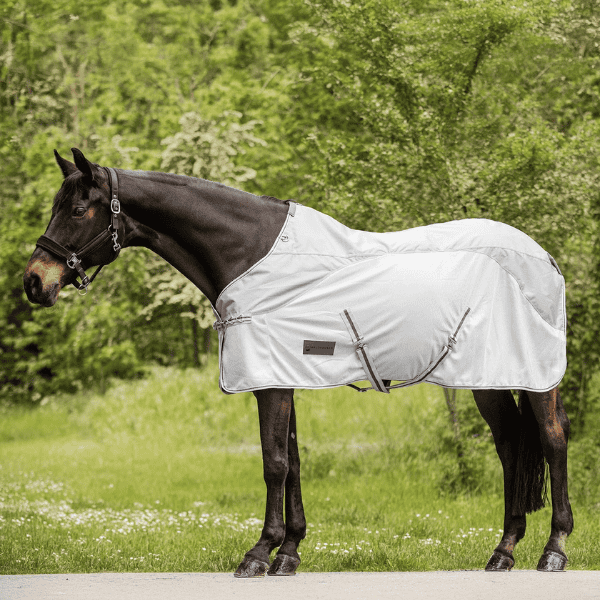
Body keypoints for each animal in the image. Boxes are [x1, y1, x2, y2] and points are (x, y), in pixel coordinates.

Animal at [23, 148, 576, 576]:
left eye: (78, 209)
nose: (34, 281)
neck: (251, 255)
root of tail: (545, 258)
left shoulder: (269, 379)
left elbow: (274, 463)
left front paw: (258, 554)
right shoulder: (280, 375)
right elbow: (292, 463)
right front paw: (288, 552)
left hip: (536, 377)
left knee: (551, 441)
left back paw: (553, 550)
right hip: (491, 378)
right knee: (512, 446)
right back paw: (503, 552)